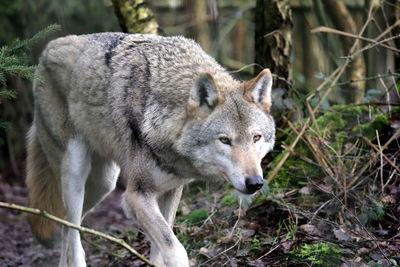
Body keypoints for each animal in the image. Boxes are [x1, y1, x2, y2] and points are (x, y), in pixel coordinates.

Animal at [25, 33, 276, 267]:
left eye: (256, 138)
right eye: (224, 140)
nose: (255, 183)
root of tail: (48, 48)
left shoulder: (171, 191)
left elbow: (160, 250)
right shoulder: (136, 195)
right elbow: (174, 249)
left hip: (103, 184)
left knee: (65, 224)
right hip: (76, 172)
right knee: (72, 228)